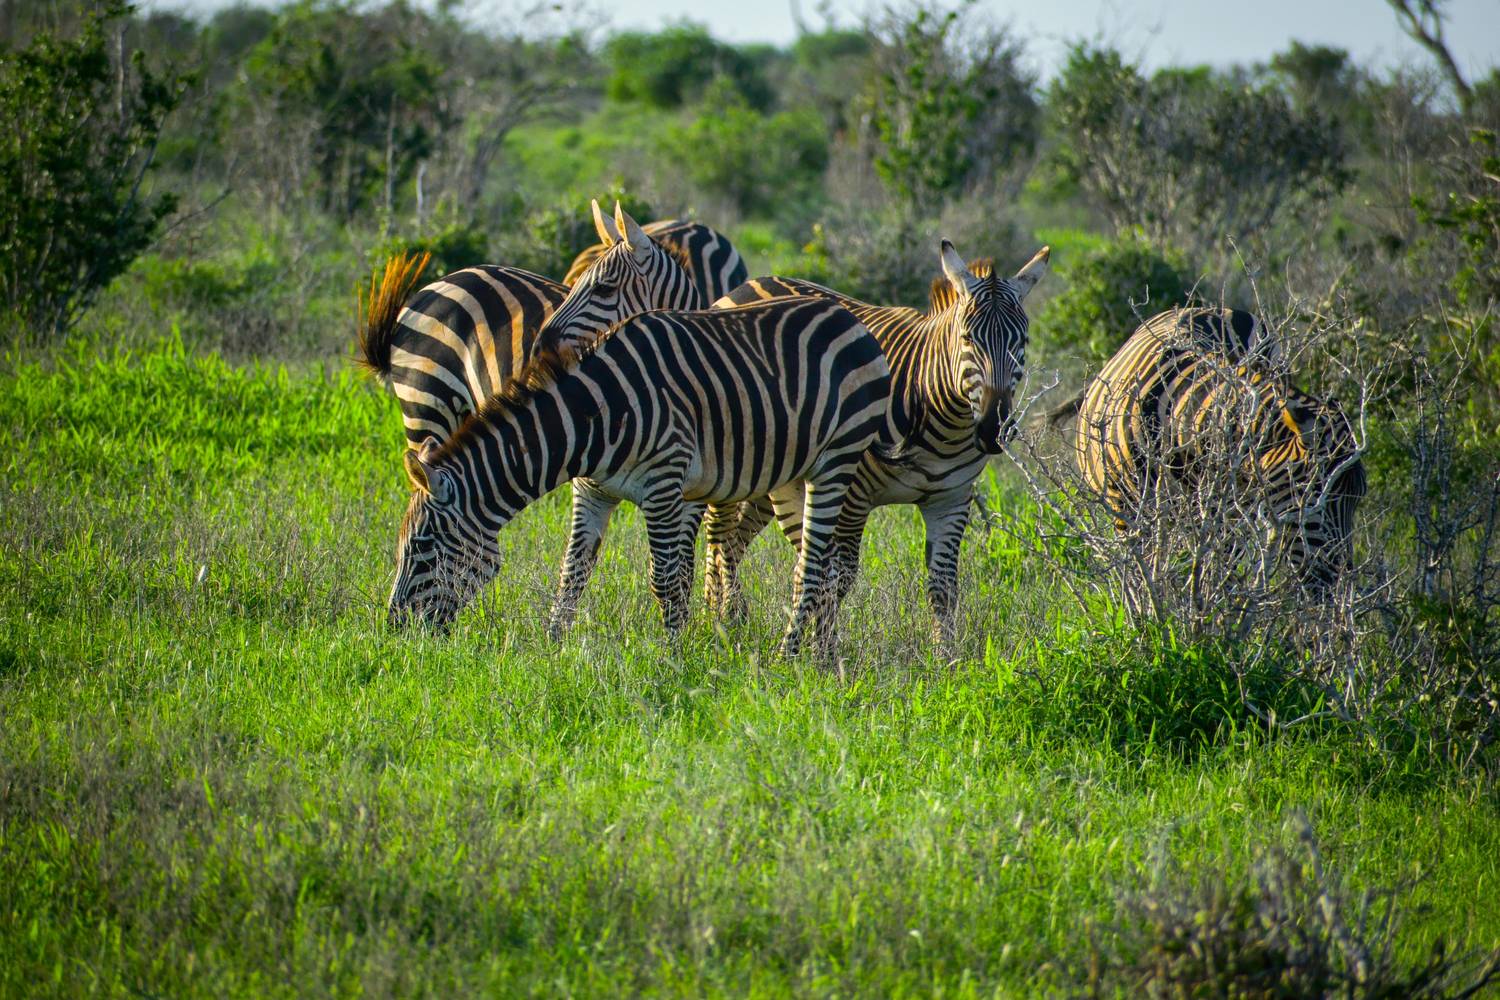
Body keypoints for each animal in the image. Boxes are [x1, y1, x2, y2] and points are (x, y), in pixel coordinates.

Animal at [387, 296, 893, 658]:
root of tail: (849, 317)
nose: (395, 632)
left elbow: (666, 580)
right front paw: (552, 649)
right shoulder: (592, 493)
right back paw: (822, 657)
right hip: (791, 476)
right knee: (822, 565)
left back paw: (787, 659)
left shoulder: (663, 485)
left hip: (836, 460)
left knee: (813, 566)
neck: (590, 420)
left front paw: (673, 658)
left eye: (423, 545)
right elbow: (572, 573)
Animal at [704, 240, 1050, 649]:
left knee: (734, 539)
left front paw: (947, 658)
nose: (993, 430)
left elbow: (943, 588)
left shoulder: (951, 501)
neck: (943, 419)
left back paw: (729, 616)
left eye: (1022, 342)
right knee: (718, 530)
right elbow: (839, 578)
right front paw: (824, 650)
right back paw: (712, 620)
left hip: (774, 470)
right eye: (967, 339)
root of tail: (751, 282)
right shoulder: (853, 495)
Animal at [1070, 306, 1366, 590]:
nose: (1340, 581)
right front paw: (1151, 609)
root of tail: (1203, 309)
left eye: (1358, 498)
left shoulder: (1225, 516)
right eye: (1316, 496)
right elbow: (1141, 582)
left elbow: (1215, 572)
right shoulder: (1127, 513)